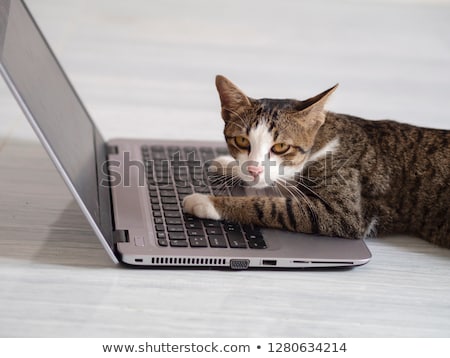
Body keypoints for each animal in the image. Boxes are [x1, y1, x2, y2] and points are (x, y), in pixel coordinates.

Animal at [183, 75, 450, 249]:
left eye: (281, 147)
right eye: (241, 140)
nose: (254, 168)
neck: (323, 139)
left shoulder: (343, 212)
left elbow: (273, 206)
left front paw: (207, 201)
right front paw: (226, 163)